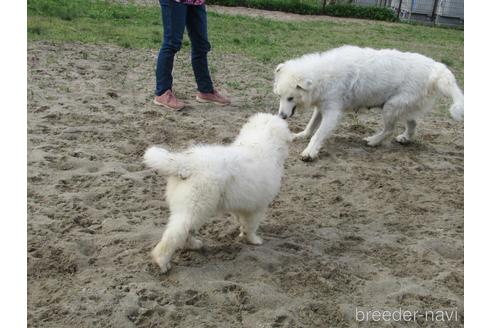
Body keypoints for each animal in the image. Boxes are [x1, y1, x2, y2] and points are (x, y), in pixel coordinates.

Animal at [142, 113, 292, 272]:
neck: (260, 142)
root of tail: (185, 163)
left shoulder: (243, 205)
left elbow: (242, 222)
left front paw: (242, 235)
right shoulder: (257, 208)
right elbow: (251, 226)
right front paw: (254, 240)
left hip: (189, 207)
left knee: (185, 230)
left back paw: (194, 245)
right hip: (195, 205)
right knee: (174, 234)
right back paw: (162, 262)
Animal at [274, 45, 464, 161]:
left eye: (291, 98)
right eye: (280, 96)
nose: (281, 116)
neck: (322, 75)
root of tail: (435, 67)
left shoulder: (332, 113)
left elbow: (318, 134)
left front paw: (309, 152)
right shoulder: (321, 108)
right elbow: (311, 126)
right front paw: (301, 136)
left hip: (390, 107)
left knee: (389, 130)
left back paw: (373, 141)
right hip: (403, 107)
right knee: (412, 123)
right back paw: (405, 138)